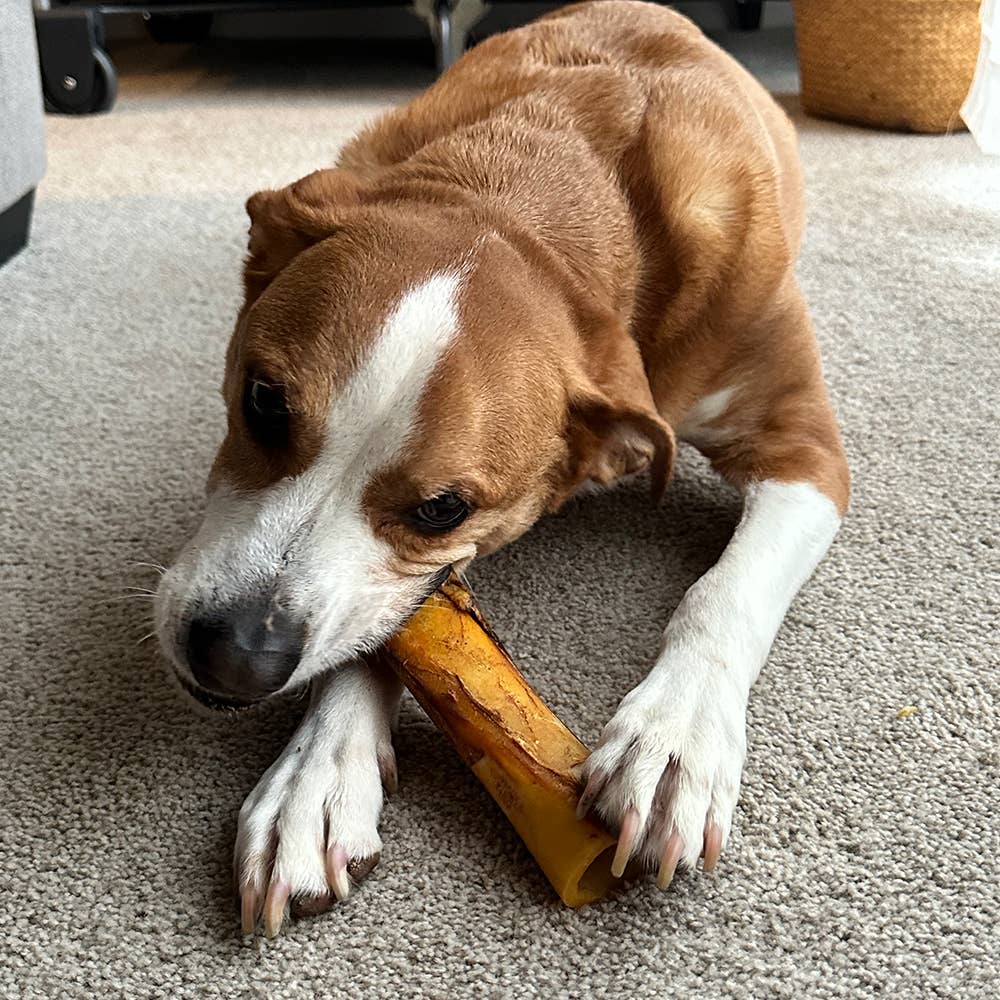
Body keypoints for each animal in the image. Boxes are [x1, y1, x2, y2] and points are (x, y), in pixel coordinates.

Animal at [156, 3, 852, 932]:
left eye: (443, 508)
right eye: (263, 401)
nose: (236, 657)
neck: (534, 191)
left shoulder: (805, 447)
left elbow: (726, 589)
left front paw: (675, 737)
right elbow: (391, 624)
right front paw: (318, 774)